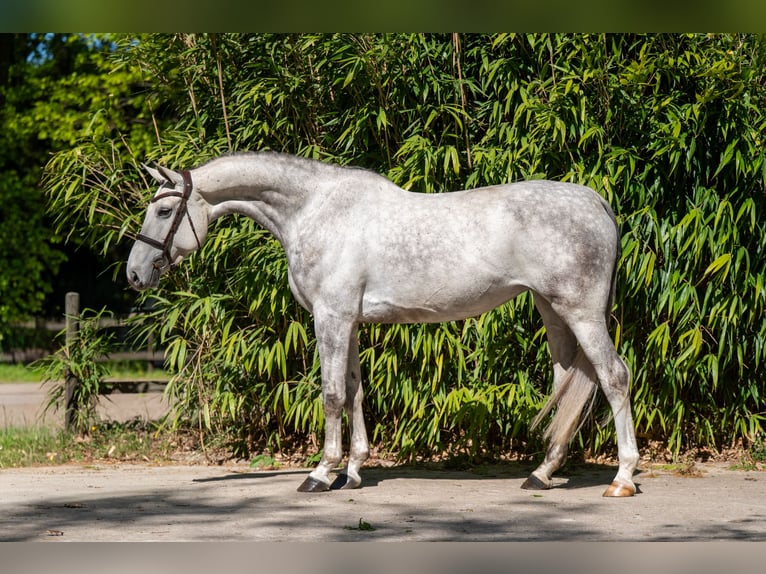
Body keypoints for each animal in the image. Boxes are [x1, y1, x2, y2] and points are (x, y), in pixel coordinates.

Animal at [126, 151, 639, 497]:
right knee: (567, 381)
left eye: (165, 211)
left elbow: (332, 394)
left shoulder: (330, 317)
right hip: (552, 310)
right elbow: (355, 390)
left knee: (614, 377)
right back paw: (542, 473)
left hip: (581, 311)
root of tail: (597, 202)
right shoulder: (349, 321)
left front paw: (320, 473)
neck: (314, 210)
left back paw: (622, 478)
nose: (134, 273)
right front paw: (353, 472)